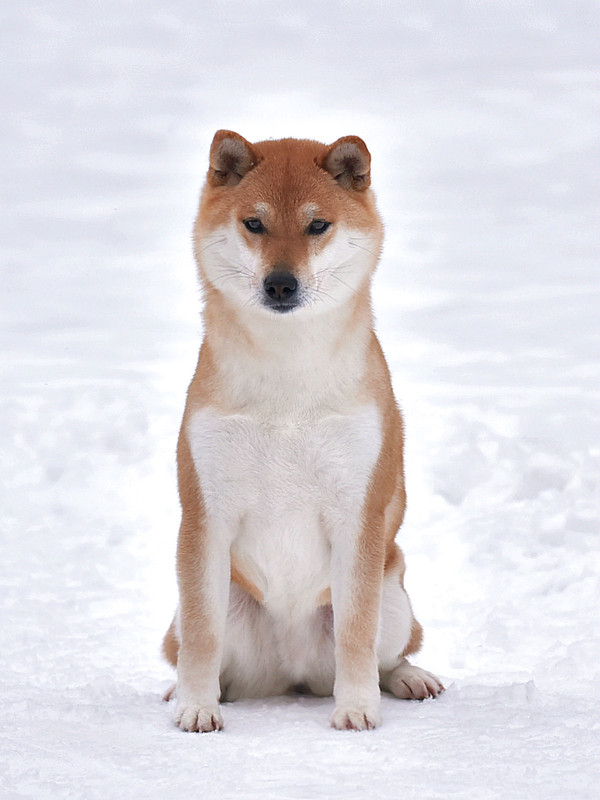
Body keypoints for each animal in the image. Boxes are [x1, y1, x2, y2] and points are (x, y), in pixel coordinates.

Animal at [162, 130, 442, 732]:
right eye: (255, 223)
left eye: (317, 225)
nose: (281, 284)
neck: (287, 380)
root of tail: (290, 674)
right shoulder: (206, 516)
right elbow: (200, 638)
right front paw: (197, 707)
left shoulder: (357, 516)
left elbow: (356, 637)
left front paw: (356, 710)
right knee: (197, 649)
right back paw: (189, 692)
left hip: (394, 598)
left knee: (390, 653)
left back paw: (408, 680)